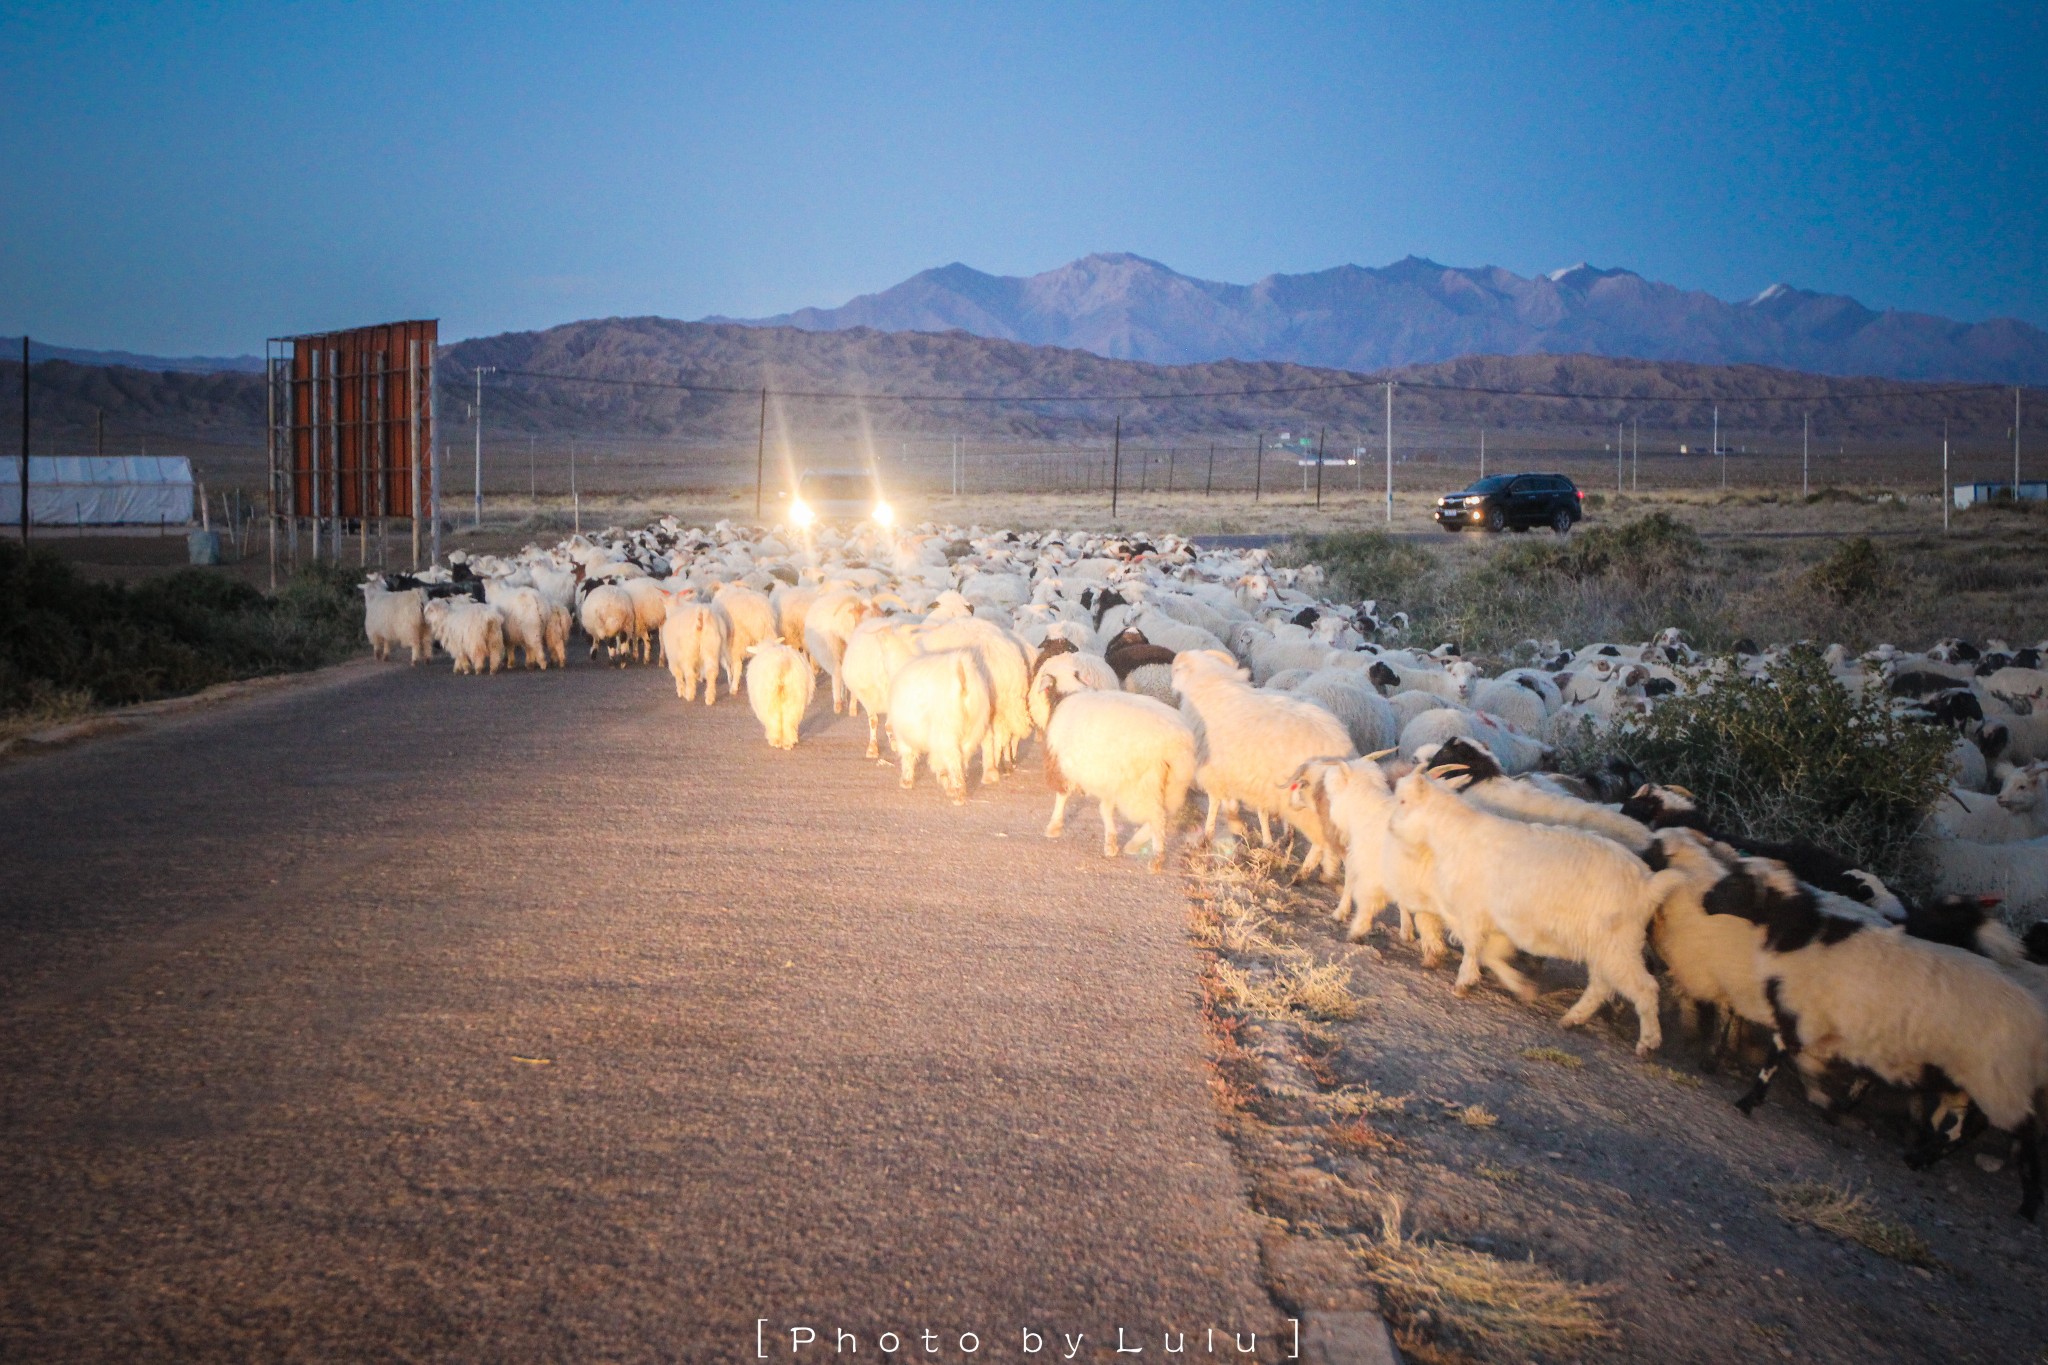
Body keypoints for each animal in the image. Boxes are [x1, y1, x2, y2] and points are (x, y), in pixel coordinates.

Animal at [1048, 695, 1196, 875]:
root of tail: (1177, 744)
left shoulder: (1064, 765)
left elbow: (1062, 795)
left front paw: (1054, 826)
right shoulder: (1111, 781)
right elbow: (1105, 809)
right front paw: (1110, 843)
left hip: (1145, 784)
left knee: (1158, 817)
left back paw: (1156, 857)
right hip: (1174, 785)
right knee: (1166, 813)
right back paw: (1135, 843)